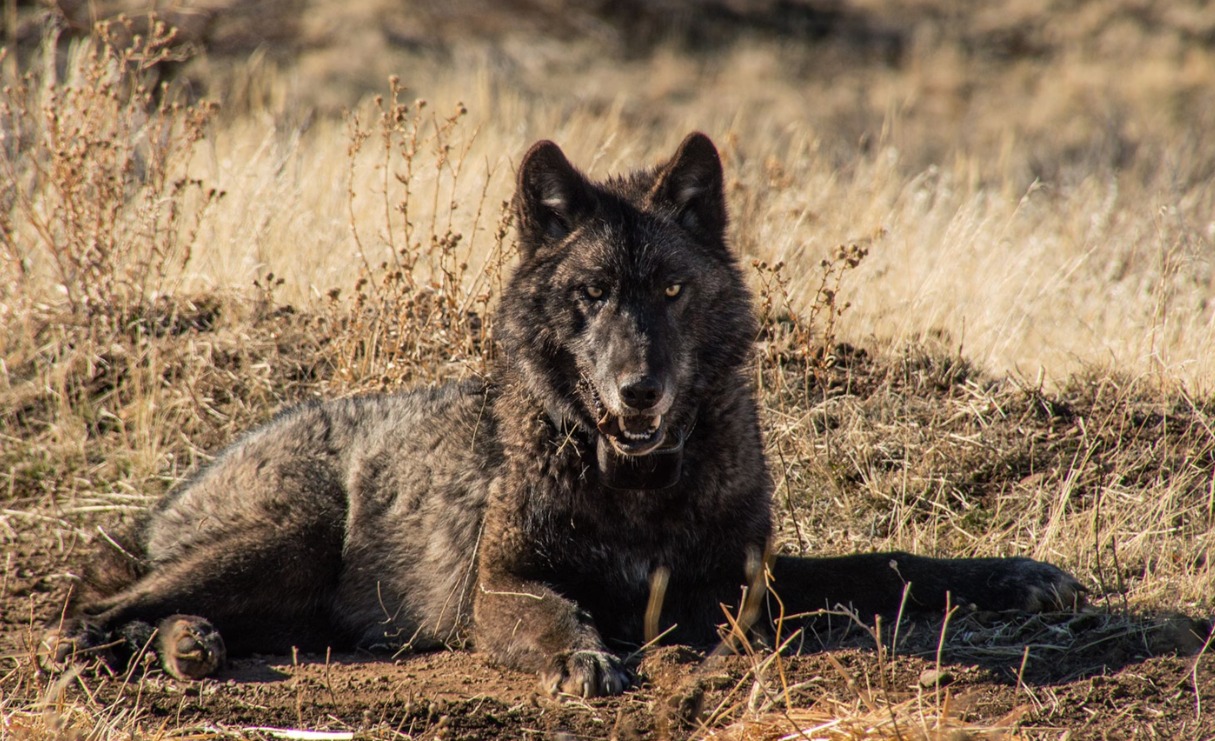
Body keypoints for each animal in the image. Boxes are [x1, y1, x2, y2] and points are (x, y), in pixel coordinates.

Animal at [43, 133, 1083, 697]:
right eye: (590, 294)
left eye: (668, 289)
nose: (638, 392)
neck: (637, 485)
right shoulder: (500, 586)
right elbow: (556, 613)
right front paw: (584, 659)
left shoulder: (744, 579)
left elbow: (892, 566)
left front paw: (1014, 575)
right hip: (288, 537)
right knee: (88, 606)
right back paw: (123, 647)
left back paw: (189, 645)